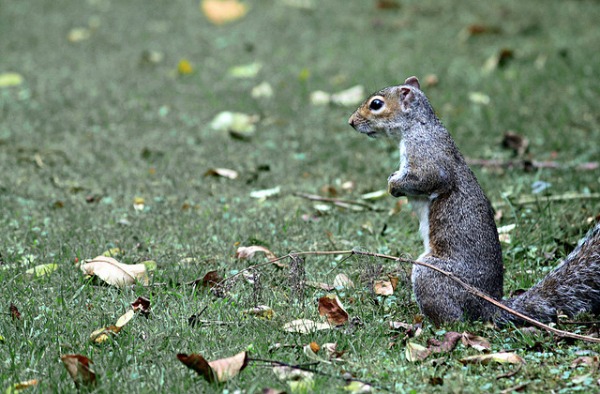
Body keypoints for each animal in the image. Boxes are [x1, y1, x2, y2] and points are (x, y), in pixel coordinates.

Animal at [346, 77, 600, 326]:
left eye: (376, 104)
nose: (351, 122)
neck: (417, 125)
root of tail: (489, 307)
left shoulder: (426, 155)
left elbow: (429, 178)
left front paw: (393, 185)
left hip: (431, 275)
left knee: (454, 321)